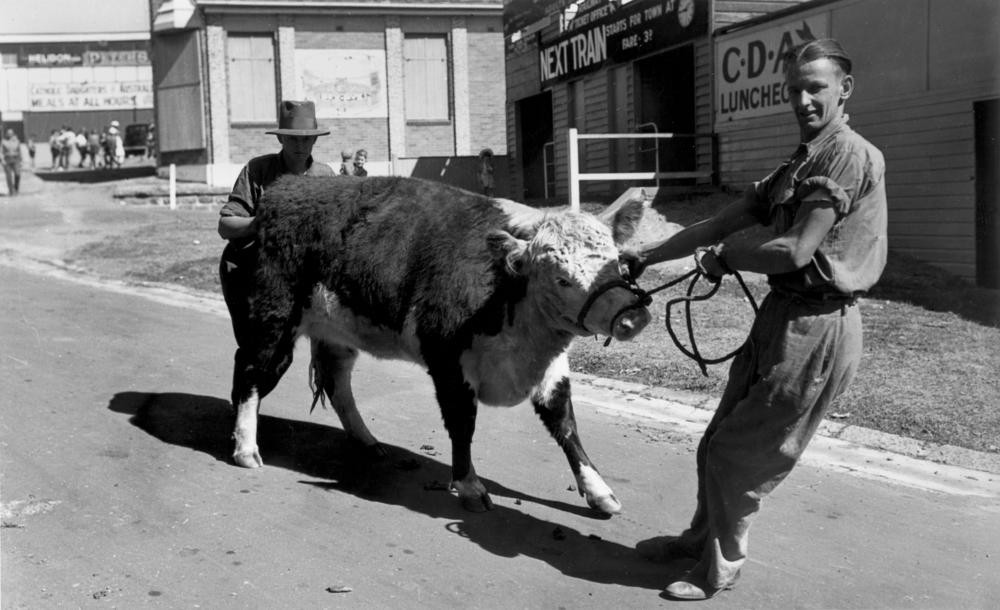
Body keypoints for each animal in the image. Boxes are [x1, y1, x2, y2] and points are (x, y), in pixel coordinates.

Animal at [231, 176, 652, 512]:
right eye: (562, 278)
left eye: (617, 262)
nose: (633, 317)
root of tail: (287, 188)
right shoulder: (448, 362)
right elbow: (462, 424)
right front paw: (469, 486)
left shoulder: (550, 368)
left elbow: (564, 424)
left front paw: (598, 491)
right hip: (273, 320)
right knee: (251, 373)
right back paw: (245, 448)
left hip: (335, 334)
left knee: (337, 385)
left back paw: (367, 441)